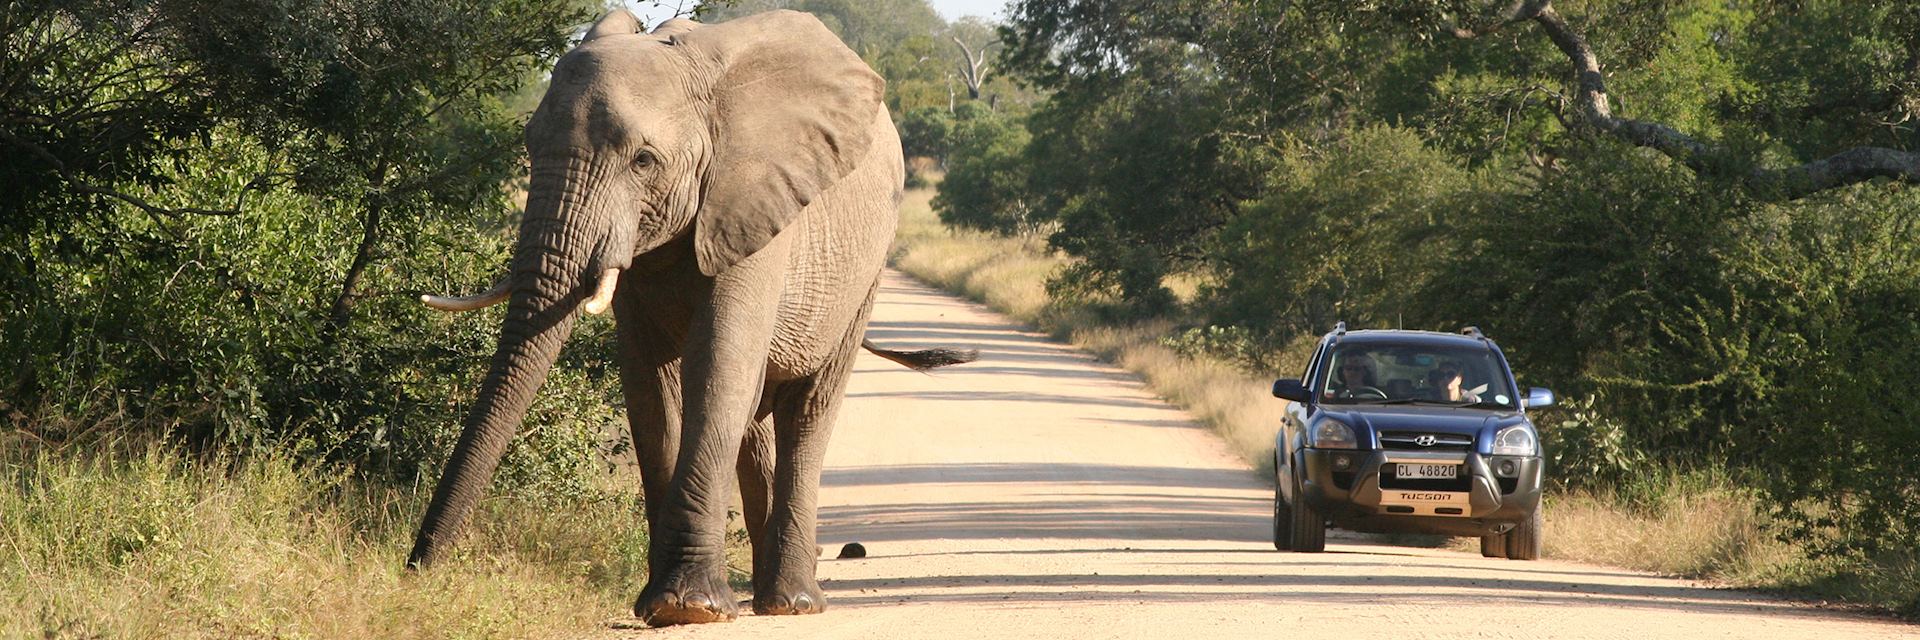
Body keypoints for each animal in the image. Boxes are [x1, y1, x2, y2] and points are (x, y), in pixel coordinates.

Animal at [407, 8, 975, 622]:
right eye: (530, 148)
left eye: (643, 161)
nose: (416, 568)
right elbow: (650, 388)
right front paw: (662, 605)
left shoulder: (753, 207)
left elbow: (718, 368)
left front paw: (691, 607)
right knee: (757, 419)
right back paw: (765, 593)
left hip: (865, 268)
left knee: (808, 409)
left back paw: (793, 602)